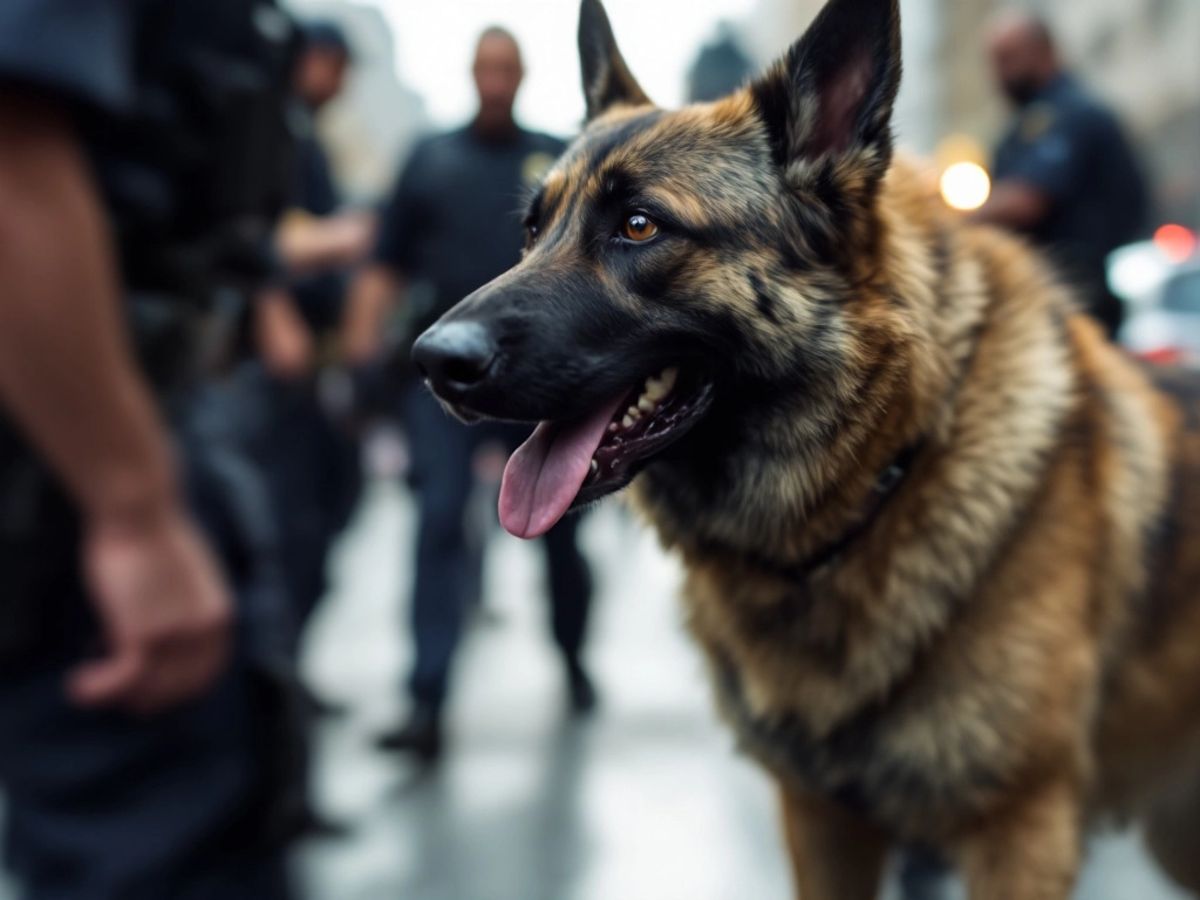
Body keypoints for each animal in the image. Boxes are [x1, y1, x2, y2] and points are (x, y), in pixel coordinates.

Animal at [412, 0, 1200, 892]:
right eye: (532, 229)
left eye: (639, 226)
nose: (431, 361)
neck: (887, 477)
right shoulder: (820, 819)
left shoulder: (1019, 832)